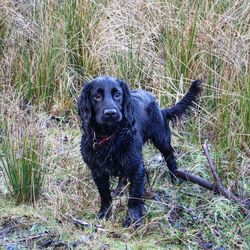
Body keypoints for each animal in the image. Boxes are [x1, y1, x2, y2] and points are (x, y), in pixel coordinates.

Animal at [77, 75, 202, 227]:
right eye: (97, 96)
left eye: (117, 95)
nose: (111, 113)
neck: (111, 136)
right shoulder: (97, 170)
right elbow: (105, 195)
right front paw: (104, 214)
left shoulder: (137, 168)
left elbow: (134, 197)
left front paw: (133, 219)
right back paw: (119, 190)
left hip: (161, 139)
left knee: (170, 156)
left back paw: (175, 178)